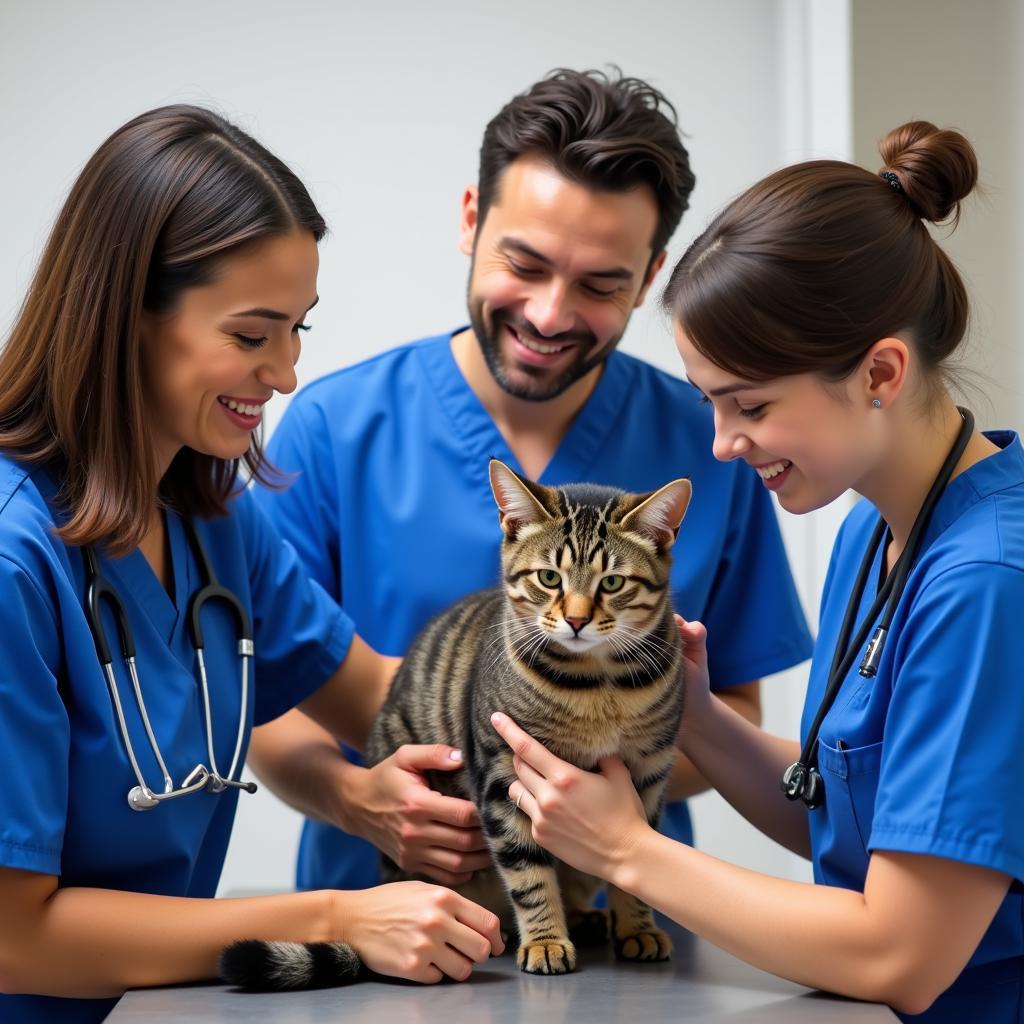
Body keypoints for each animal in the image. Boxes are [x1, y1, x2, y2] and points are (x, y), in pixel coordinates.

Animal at [220, 460, 692, 987]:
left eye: (612, 584)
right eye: (549, 577)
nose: (575, 621)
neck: (599, 684)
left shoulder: (647, 775)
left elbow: (633, 864)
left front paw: (638, 927)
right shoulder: (503, 776)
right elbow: (529, 873)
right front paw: (546, 940)